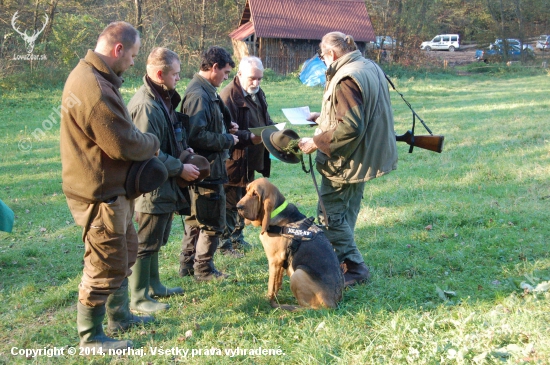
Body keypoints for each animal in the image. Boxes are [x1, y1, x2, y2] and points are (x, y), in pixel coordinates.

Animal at [236, 178, 342, 308]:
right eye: (246, 191)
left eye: (255, 194)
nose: (237, 207)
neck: (276, 212)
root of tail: (333, 303)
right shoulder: (281, 261)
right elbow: (277, 283)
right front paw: (275, 298)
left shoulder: (274, 260)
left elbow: (271, 285)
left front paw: (269, 301)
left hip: (298, 274)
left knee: (308, 307)